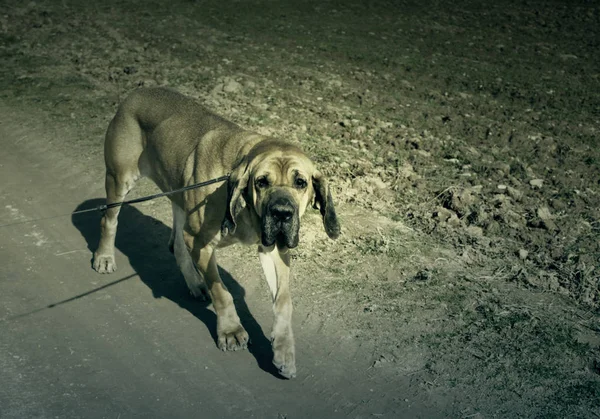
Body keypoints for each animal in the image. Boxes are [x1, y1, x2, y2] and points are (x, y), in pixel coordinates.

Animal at [91, 87, 340, 378]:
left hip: (178, 196)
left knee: (177, 245)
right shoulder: (200, 243)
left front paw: (284, 350)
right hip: (119, 179)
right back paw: (104, 257)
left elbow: (283, 300)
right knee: (109, 221)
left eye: (300, 182)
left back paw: (193, 283)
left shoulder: (273, 249)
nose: (281, 213)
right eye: (261, 182)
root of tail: (135, 92)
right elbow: (221, 290)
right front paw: (231, 330)